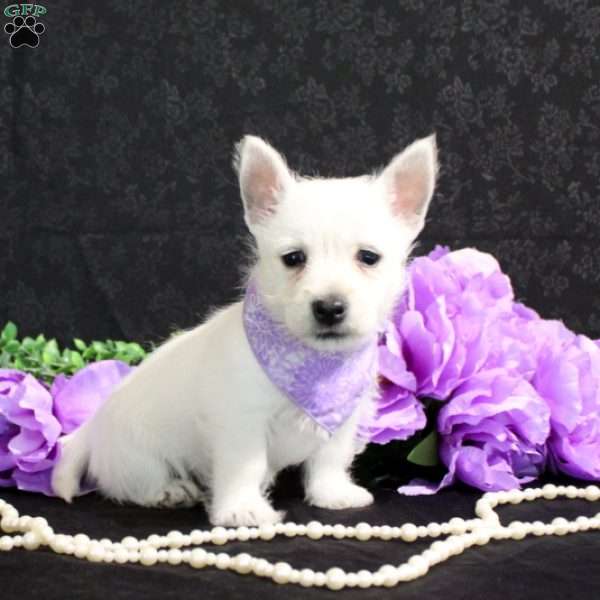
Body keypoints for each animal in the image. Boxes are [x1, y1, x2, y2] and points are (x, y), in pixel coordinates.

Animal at [52, 135, 436, 524]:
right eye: (293, 258)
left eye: (368, 257)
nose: (329, 307)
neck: (313, 365)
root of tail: (92, 428)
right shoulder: (241, 422)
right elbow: (244, 467)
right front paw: (241, 509)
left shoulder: (342, 418)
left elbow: (330, 458)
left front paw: (332, 493)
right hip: (135, 455)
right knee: (129, 483)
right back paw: (169, 490)